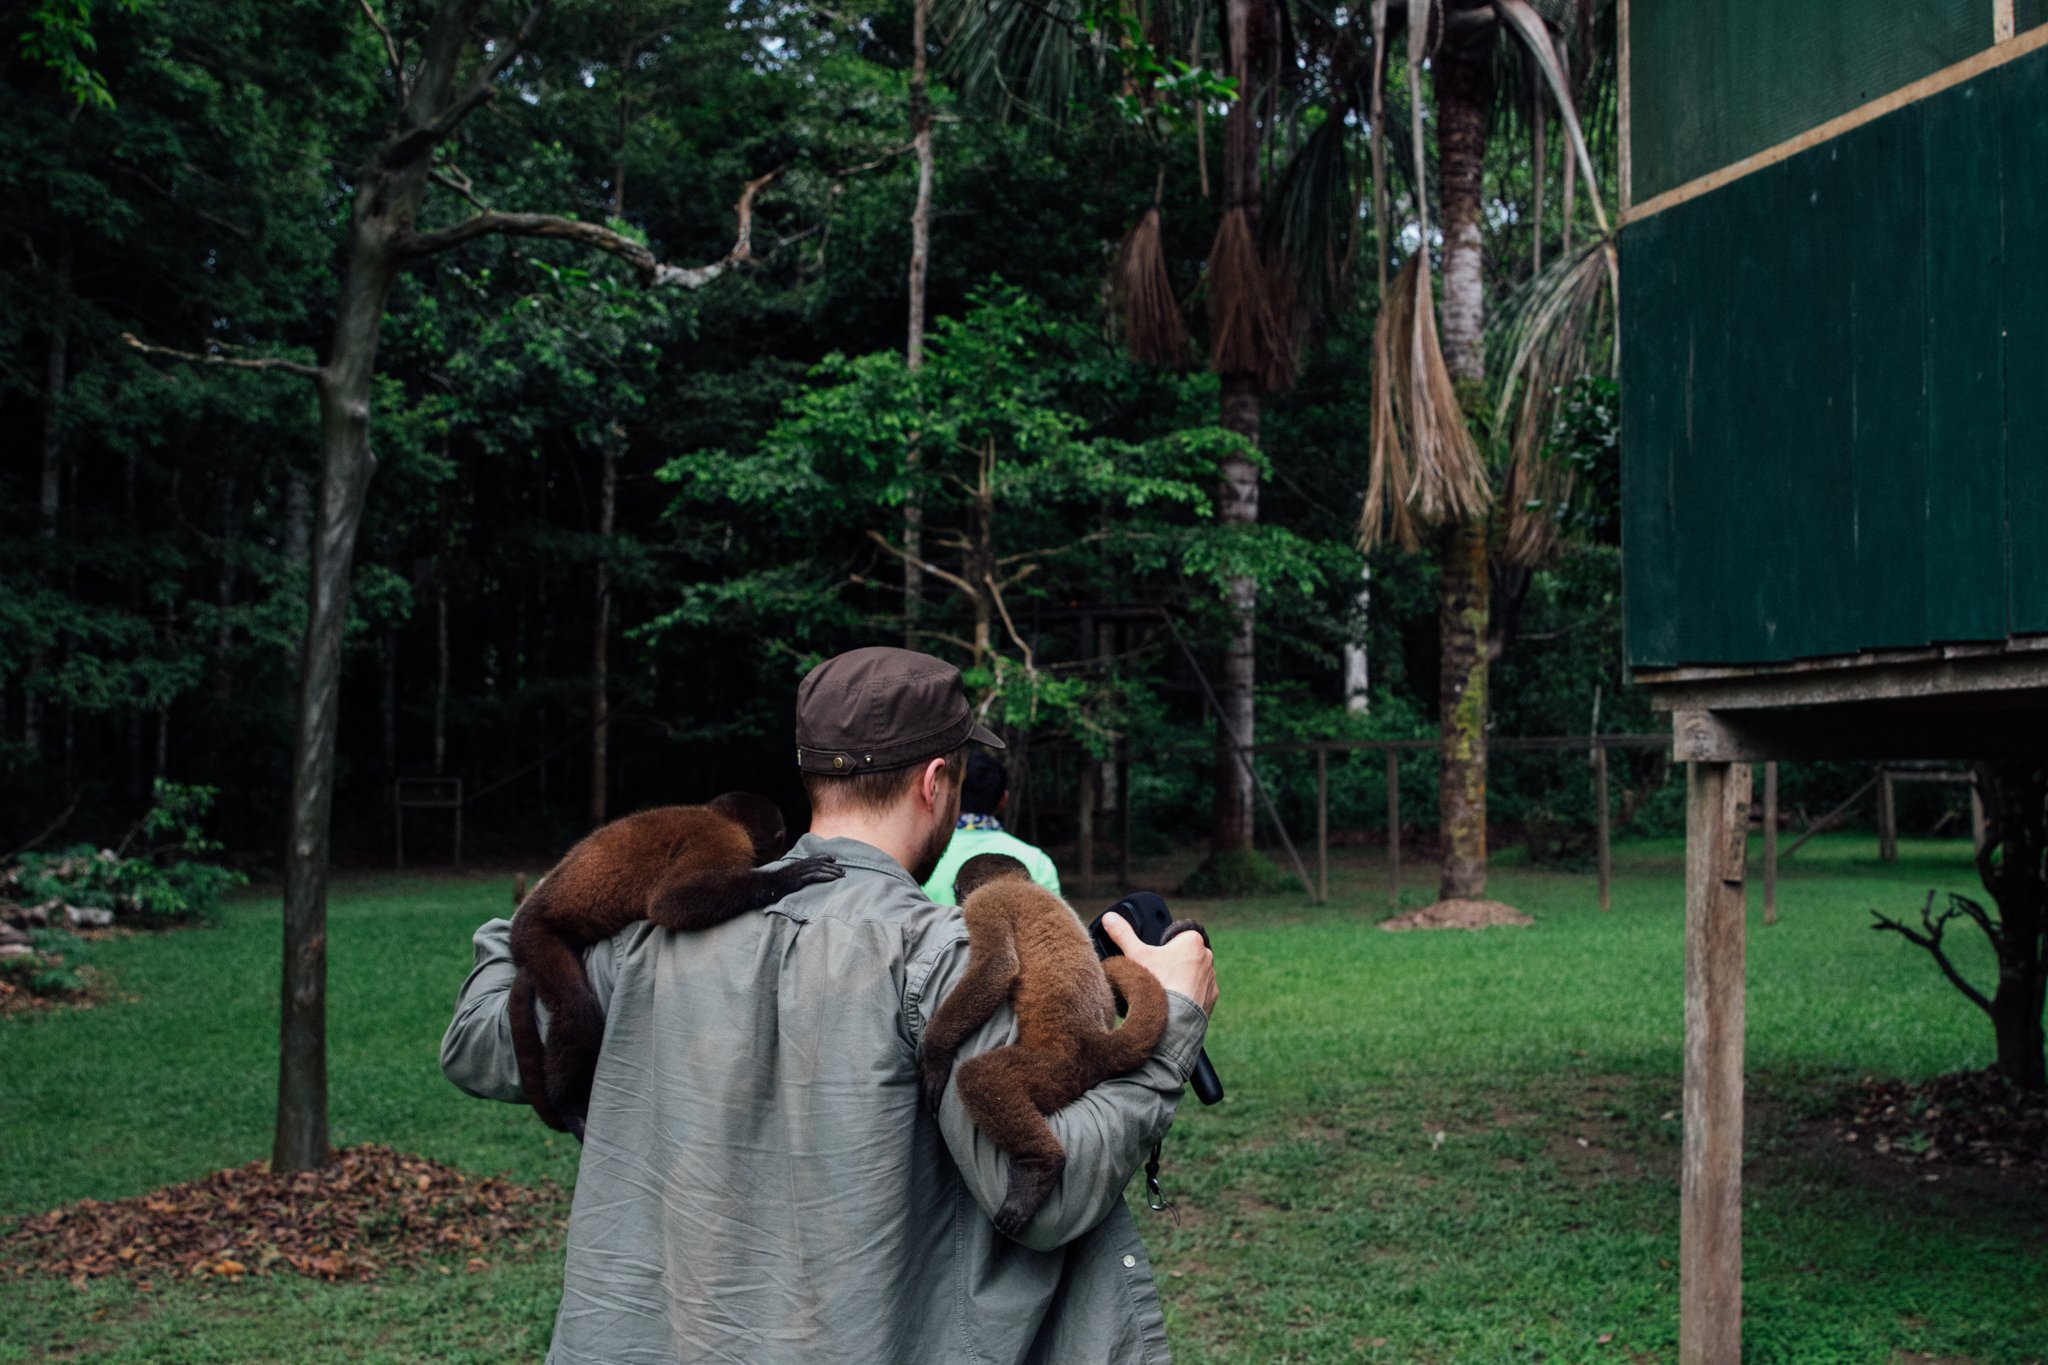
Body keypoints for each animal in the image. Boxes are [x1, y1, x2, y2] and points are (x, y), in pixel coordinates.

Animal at [507, 789, 843, 1146]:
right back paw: (567, 1103)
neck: (720, 815)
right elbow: (670, 902)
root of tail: (528, 910)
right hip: (534, 936)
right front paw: (788, 877)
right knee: (579, 1010)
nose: (779, 856)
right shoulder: (724, 838)